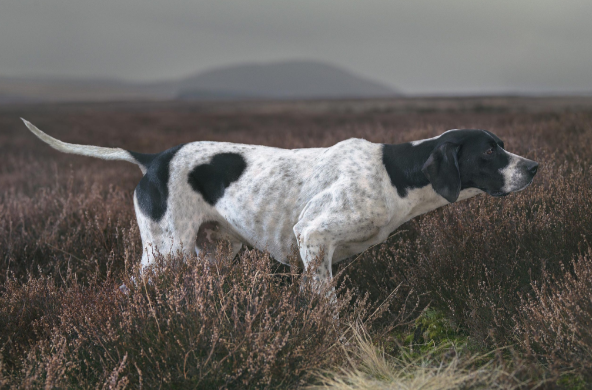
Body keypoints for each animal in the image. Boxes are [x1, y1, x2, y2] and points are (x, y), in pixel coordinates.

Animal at [22, 119, 536, 286]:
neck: (395, 175)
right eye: (488, 152)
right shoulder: (314, 237)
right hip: (165, 252)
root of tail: (153, 159)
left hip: (213, 253)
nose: (533, 166)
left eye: (502, 145)